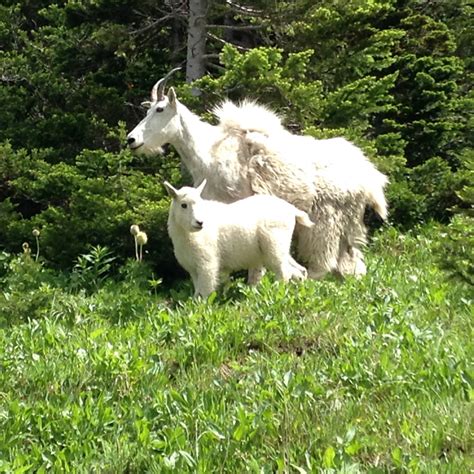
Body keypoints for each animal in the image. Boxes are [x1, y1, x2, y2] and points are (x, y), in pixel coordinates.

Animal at [128, 68, 386, 280]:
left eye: (160, 109)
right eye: (148, 109)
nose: (132, 139)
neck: (207, 153)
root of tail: (370, 178)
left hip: (326, 222)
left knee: (324, 264)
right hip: (347, 224)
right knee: (353, 262)